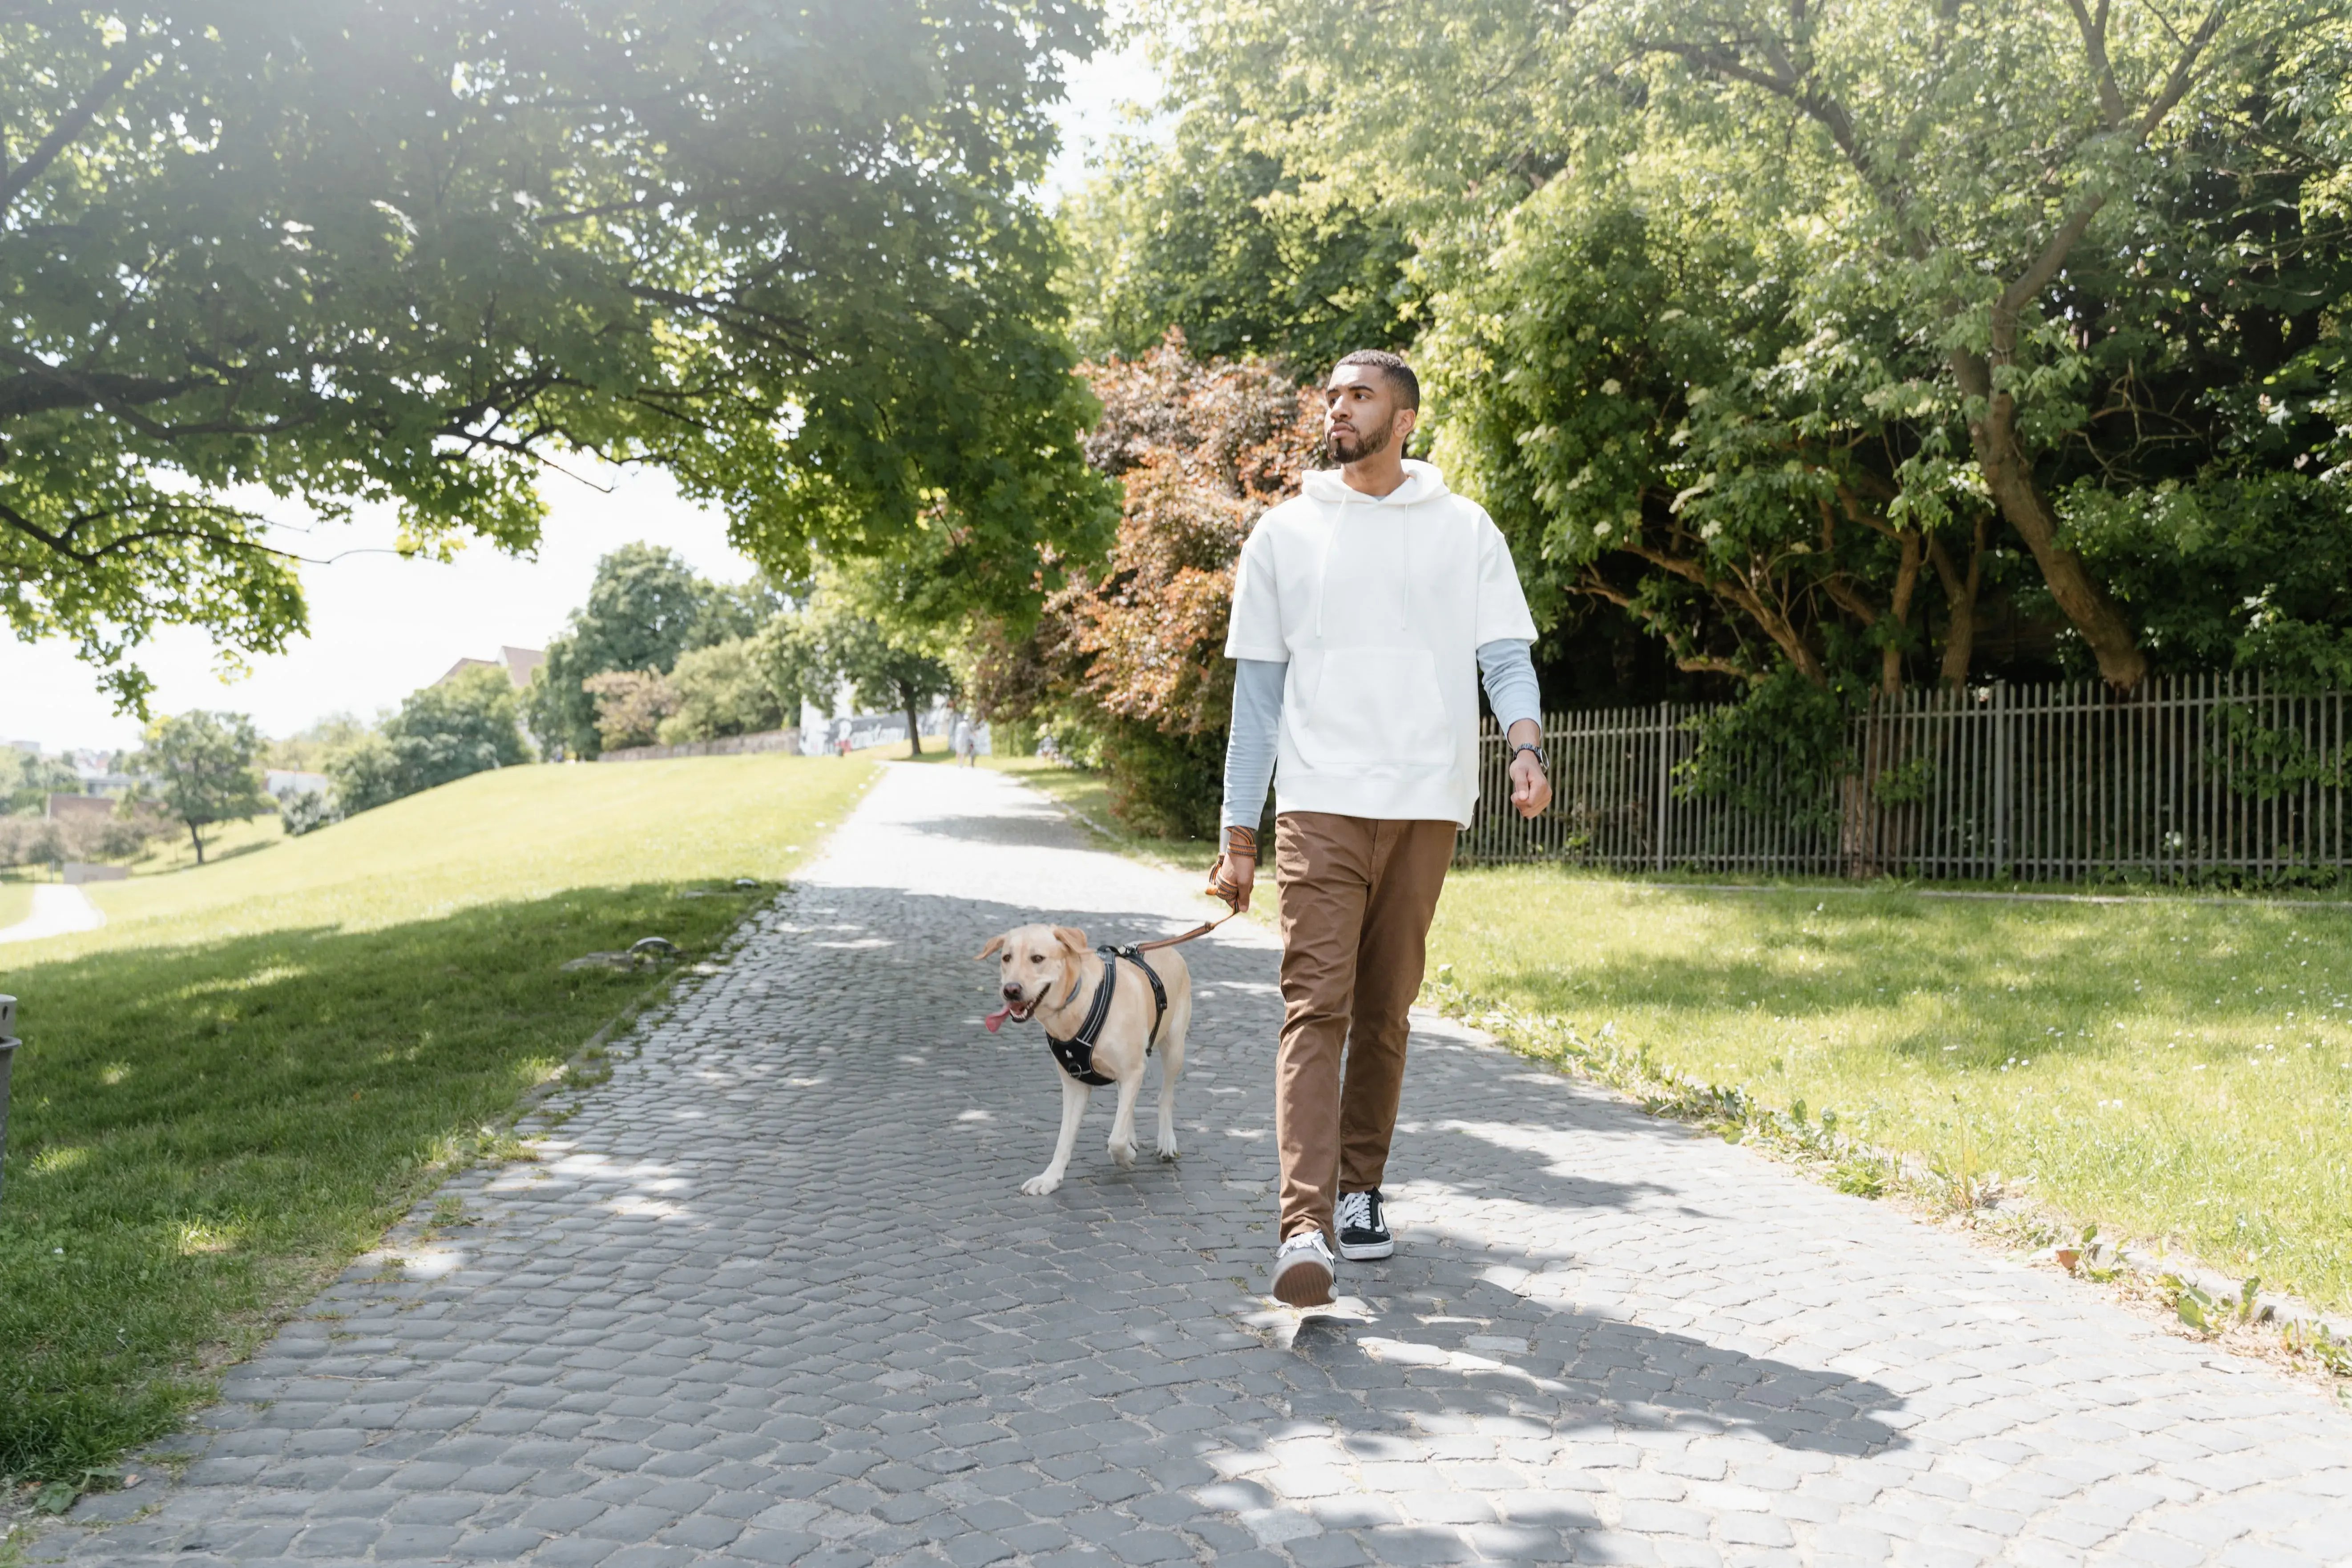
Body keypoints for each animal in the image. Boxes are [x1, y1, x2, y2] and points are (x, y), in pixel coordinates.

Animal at [978, 926, 1194, 1194]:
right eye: (1006, 958)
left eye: (1038, 958)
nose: (1010, 990)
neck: (1080, 1003)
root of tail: (1165, 947)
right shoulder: (1075, 1085)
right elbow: (1065, 1139)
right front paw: (1050, 1179)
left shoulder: (1133, 1070)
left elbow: (1116, 1139)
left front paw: (1125, 1157)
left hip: (1174, 1047)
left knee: (1165, 1096)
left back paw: (1166, 1140)